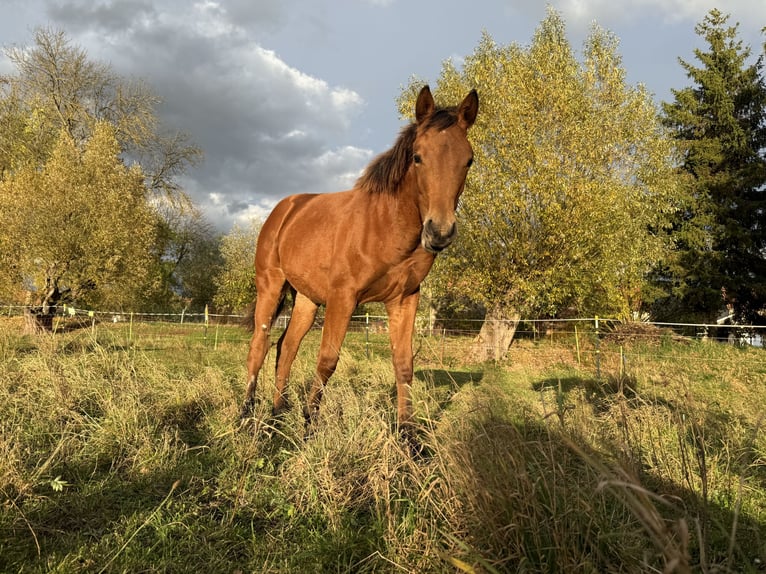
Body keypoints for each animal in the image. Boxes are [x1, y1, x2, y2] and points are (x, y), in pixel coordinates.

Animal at [242, 85, 478, 439]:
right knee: (260, 345)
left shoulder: (404, 299)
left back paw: (278, 413)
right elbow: (327, 360)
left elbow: (404, 364)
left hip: (307, 299)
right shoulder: (343, 297)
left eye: (468, 160)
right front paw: (310, 426)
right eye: (418, 156)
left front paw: (408, 435)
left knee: (287, 348)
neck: (385, 225)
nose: (439, 231)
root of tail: (286, 208)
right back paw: (246, 414)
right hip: (270, 286)